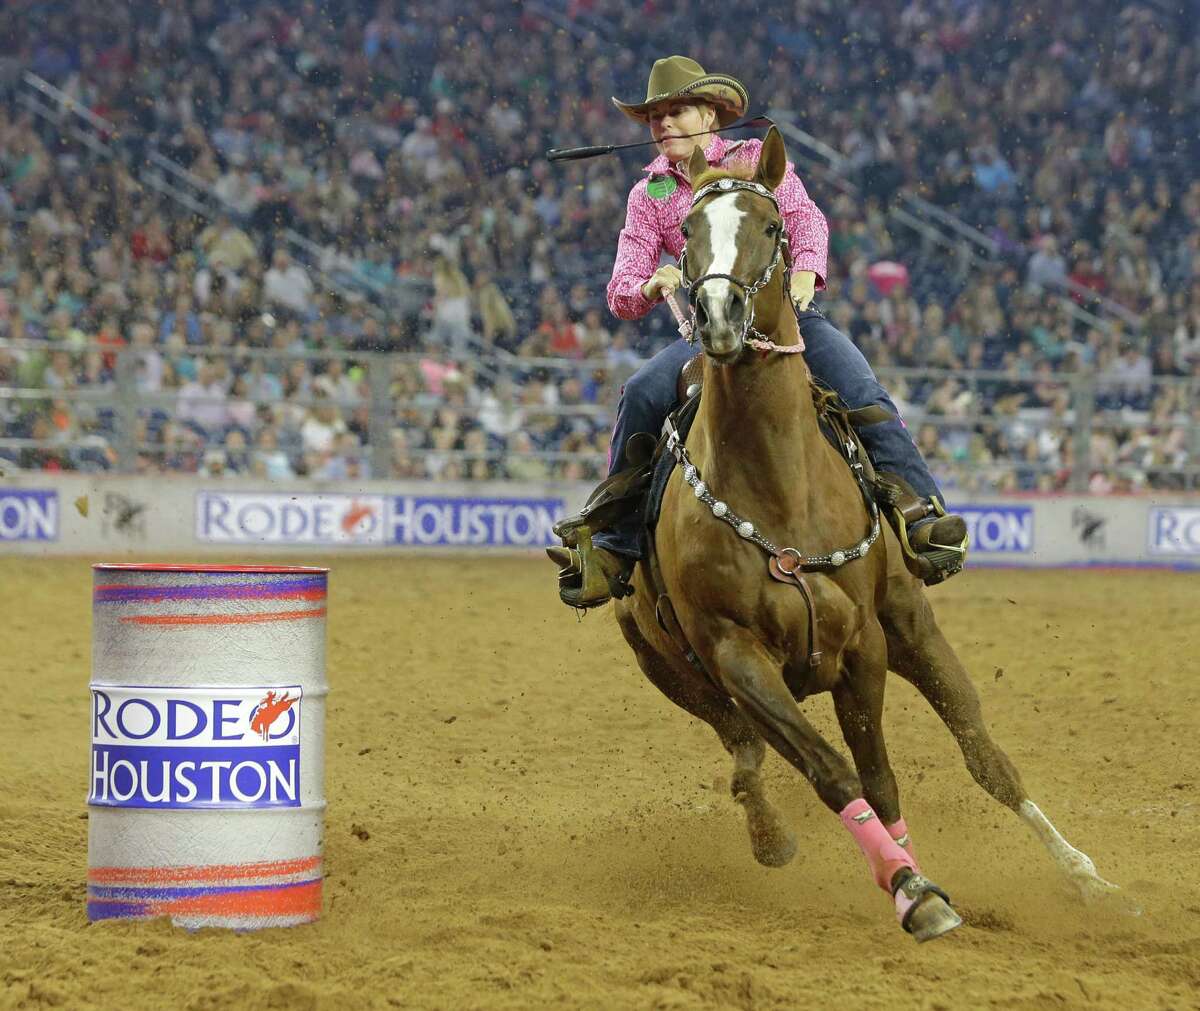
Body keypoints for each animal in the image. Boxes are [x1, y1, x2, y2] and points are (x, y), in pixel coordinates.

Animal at [611, 126, 1117, 942]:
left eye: (773, 227)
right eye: (685, 232)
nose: (717, 315)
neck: (778, 486)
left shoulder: (864, 645)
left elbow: (880, 777)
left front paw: (916, 879)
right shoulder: (737, 658)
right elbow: (830, 770)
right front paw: (912, 887)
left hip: (912, 621)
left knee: (983, 751)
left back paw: (1084, 874)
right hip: (673, 670)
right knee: (746, 757)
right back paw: (771, 836)